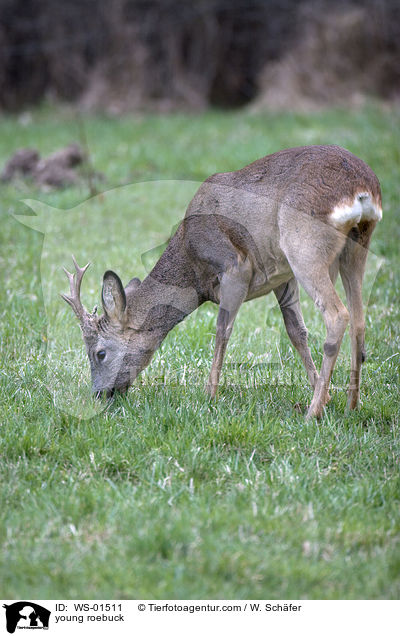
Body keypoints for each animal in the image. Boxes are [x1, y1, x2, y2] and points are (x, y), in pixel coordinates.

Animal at [61, 147, 382, 420]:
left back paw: (312, 414)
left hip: (304, 244)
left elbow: (221, 330)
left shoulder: (236, 265)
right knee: (358, 318)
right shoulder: (282, 276)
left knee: (338, 315)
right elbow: (296, 332)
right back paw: (352, 404)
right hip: (355, 246)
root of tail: (363, 190)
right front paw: (323, 393)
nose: (100, 394)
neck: (192, 267)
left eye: (100, 352)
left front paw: (209, 396)